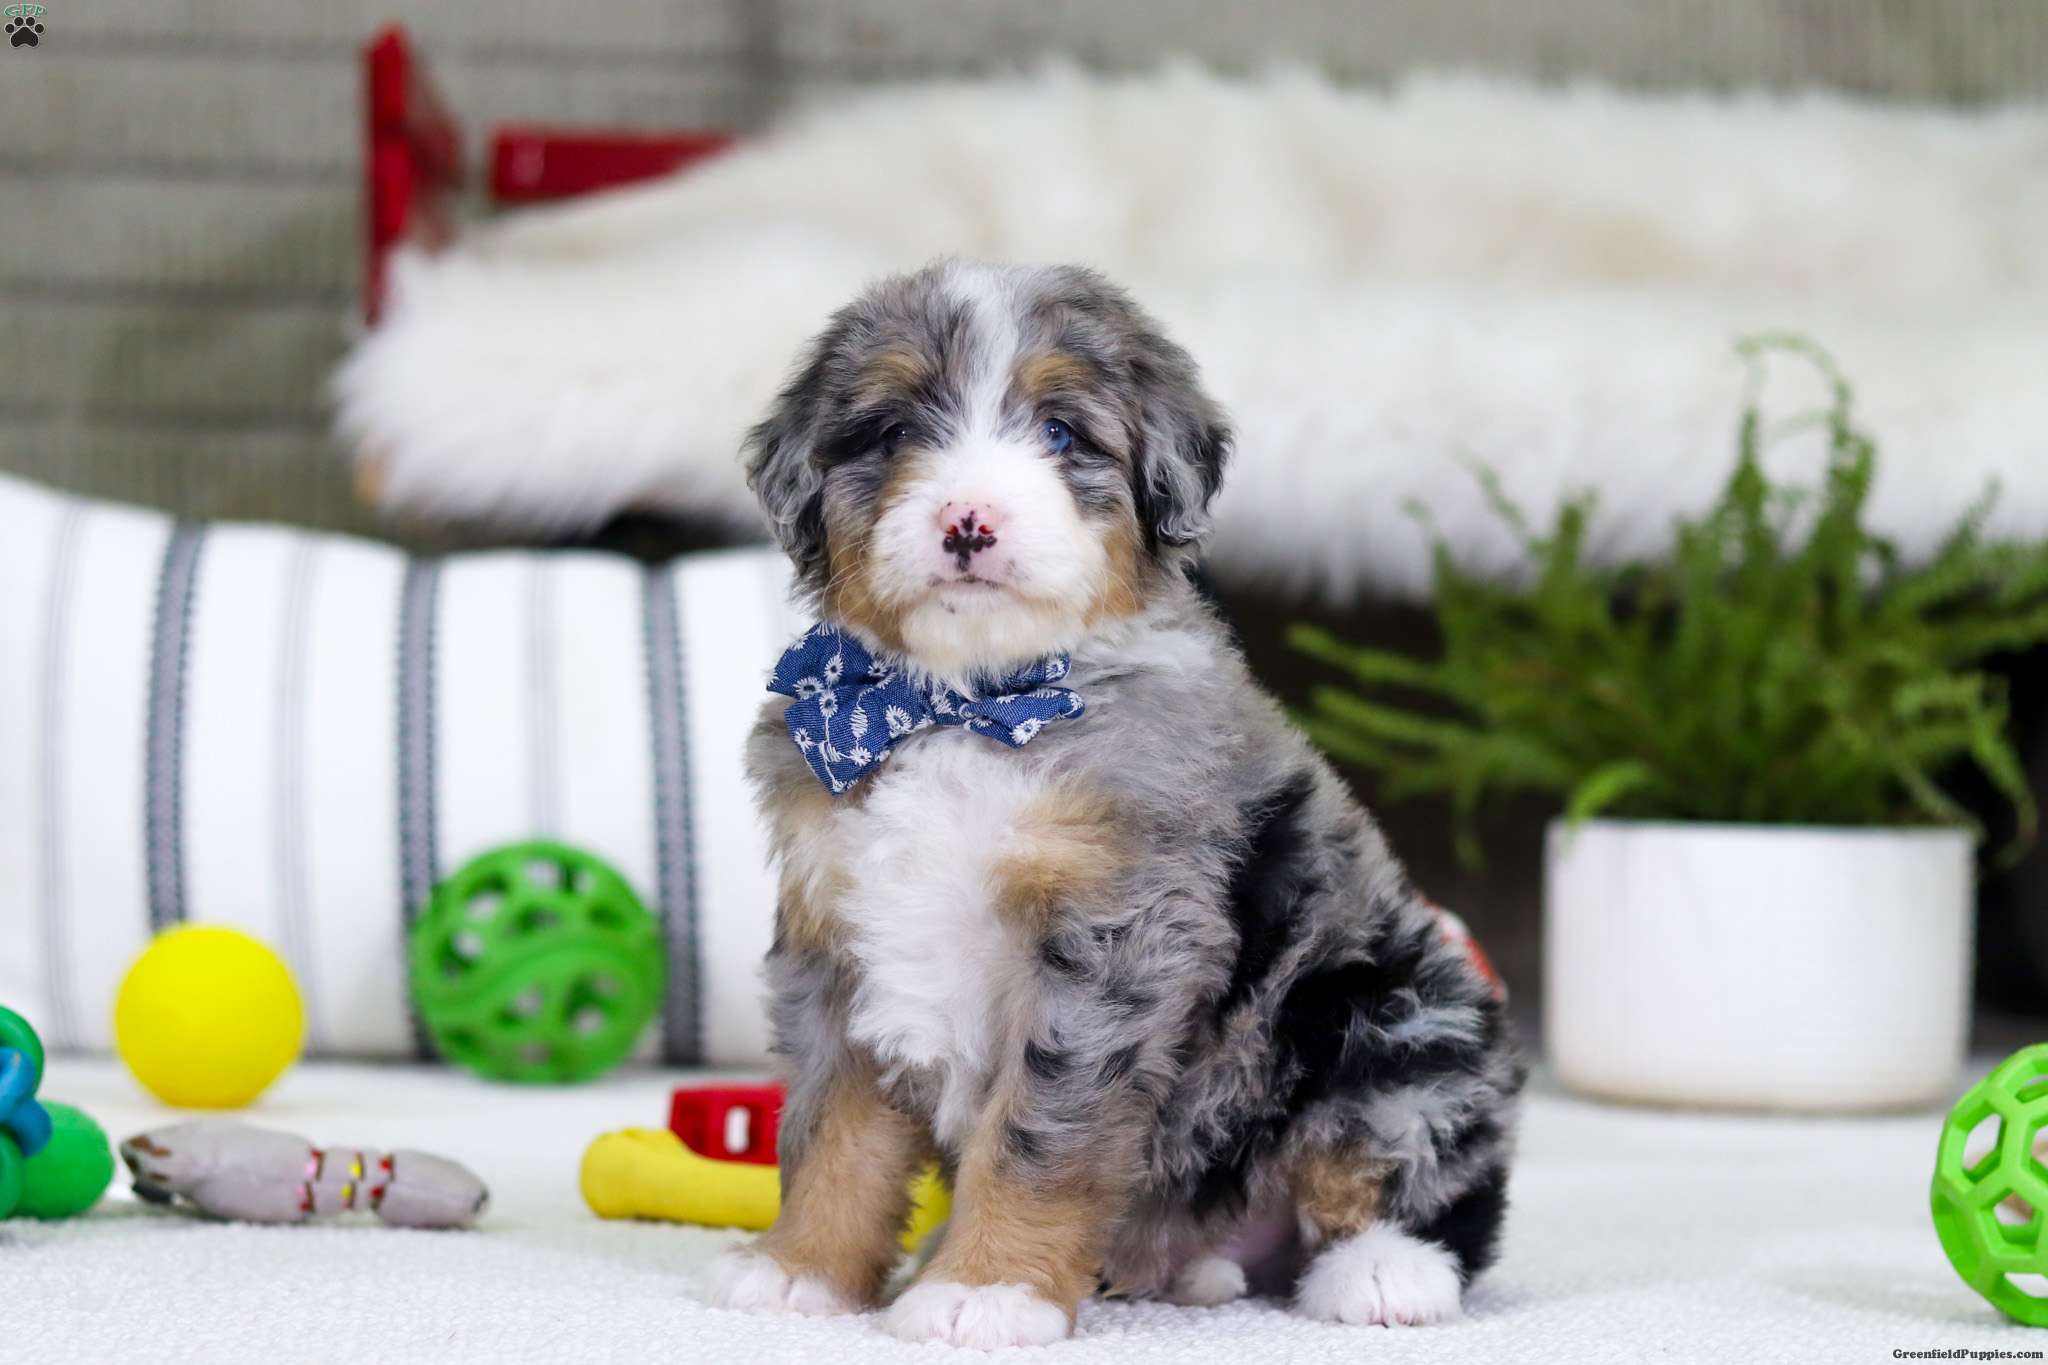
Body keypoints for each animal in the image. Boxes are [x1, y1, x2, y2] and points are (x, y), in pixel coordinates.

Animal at [708, 260, 1523, 1347]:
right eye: (891, 431)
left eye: (1061, 433)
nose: (969, 522)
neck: (963, 705)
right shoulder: (836, 932)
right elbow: (831, 1124)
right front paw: (801, 1269)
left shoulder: (1113, 940)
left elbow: (1037, 1131)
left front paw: (985, 1288)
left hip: (1392, 1010)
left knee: (1415, 1158)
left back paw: (1384, 1274)